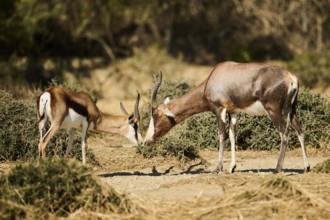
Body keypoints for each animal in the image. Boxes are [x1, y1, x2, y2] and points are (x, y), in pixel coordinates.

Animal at [143, 62, 310, 174]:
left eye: (155, 116)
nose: (146, 141)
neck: (216, 75)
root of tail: (290, 77)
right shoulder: (233, 112)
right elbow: (232, 135)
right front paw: (232, 168)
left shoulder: (220, 110)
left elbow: (221, 136)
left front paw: (218, 168)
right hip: (290, 110)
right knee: (300, 129)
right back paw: (307, 167)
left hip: (273, 110)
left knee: (285, 132)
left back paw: (277, 169)